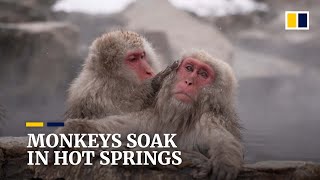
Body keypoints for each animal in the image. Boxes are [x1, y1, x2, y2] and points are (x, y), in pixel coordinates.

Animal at [53, 50, 244, 179]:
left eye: (203, 74)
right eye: (189, 68)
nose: (188, 81)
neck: (179, 120)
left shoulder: (209, 119)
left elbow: (221, 138)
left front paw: (225, 160)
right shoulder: (152, 118)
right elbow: (116, 128)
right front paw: (73, 130)